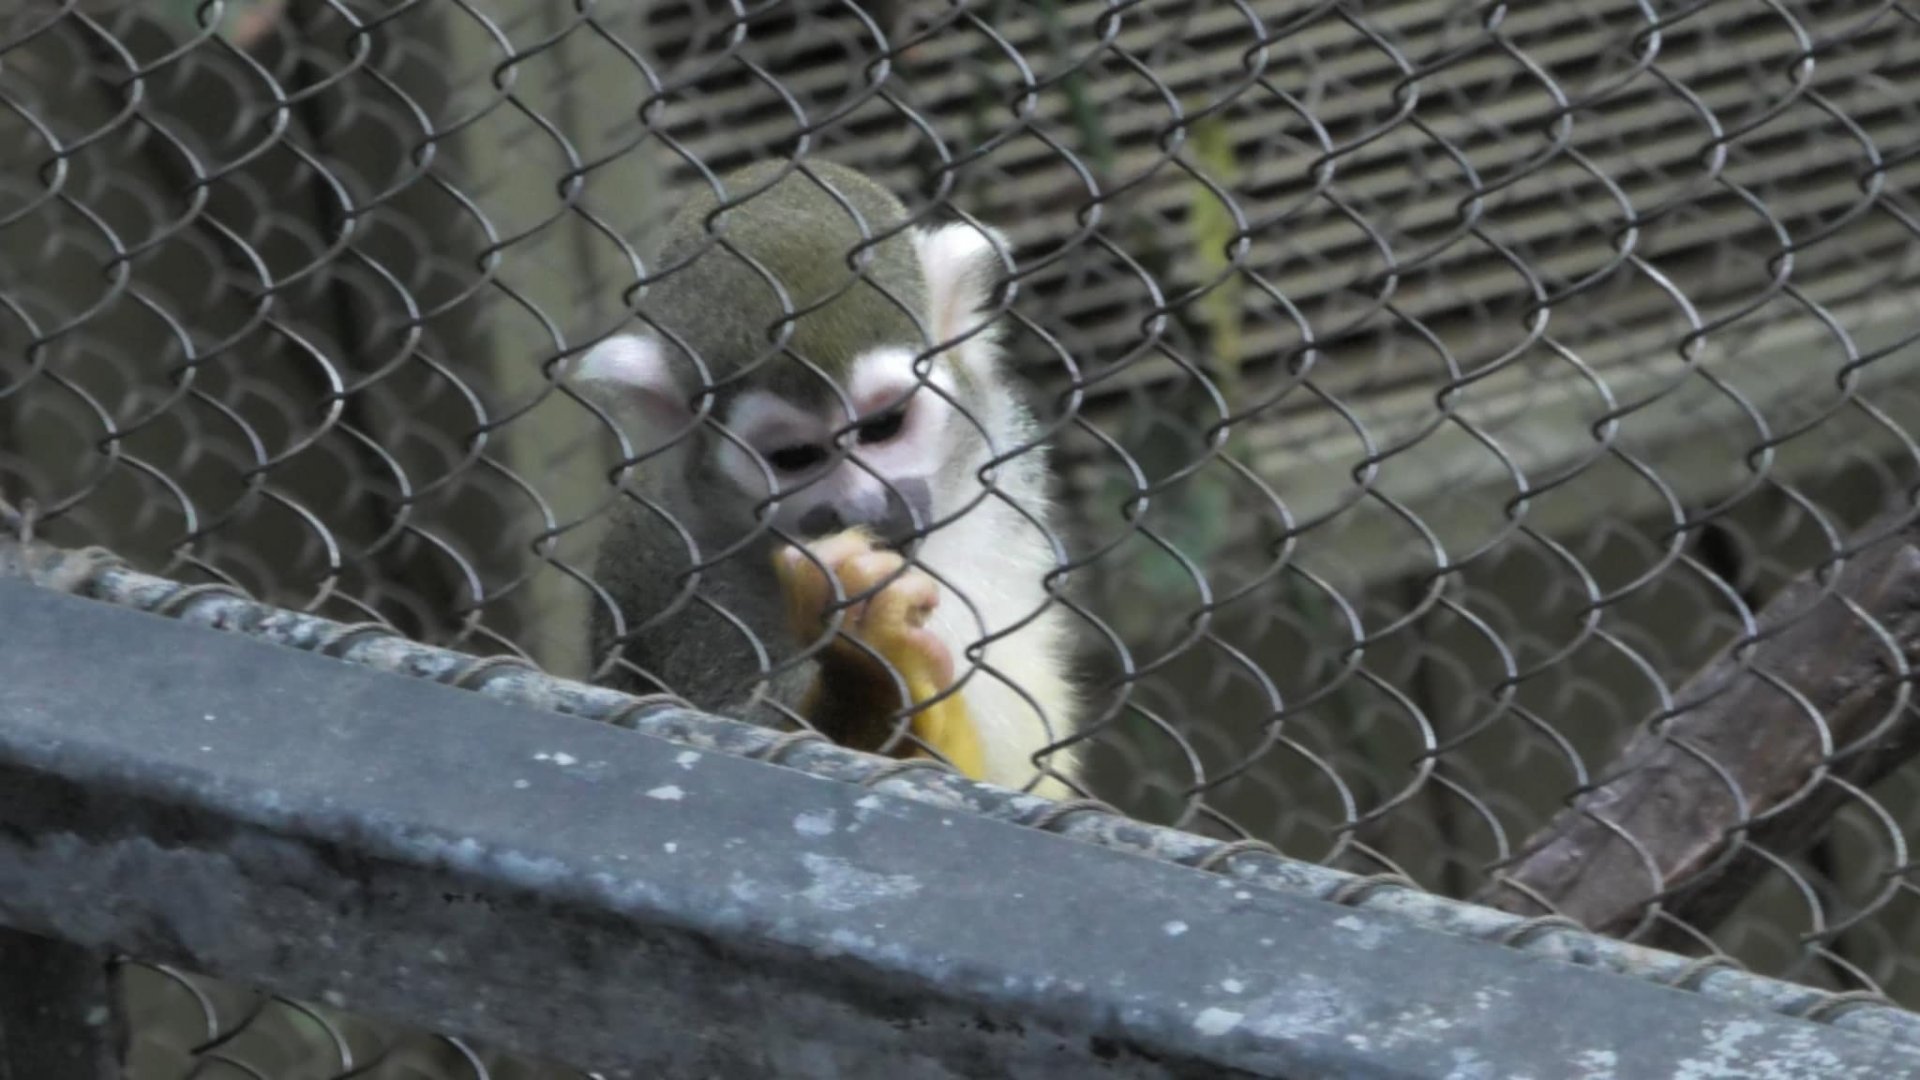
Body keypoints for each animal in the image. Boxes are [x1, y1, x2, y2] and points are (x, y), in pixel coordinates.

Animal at [567, 159, 1081, 799]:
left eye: (883, 426)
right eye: (795, 457)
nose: (863, 508)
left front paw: (873, 674)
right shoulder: (697, 608)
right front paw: (870, 678)